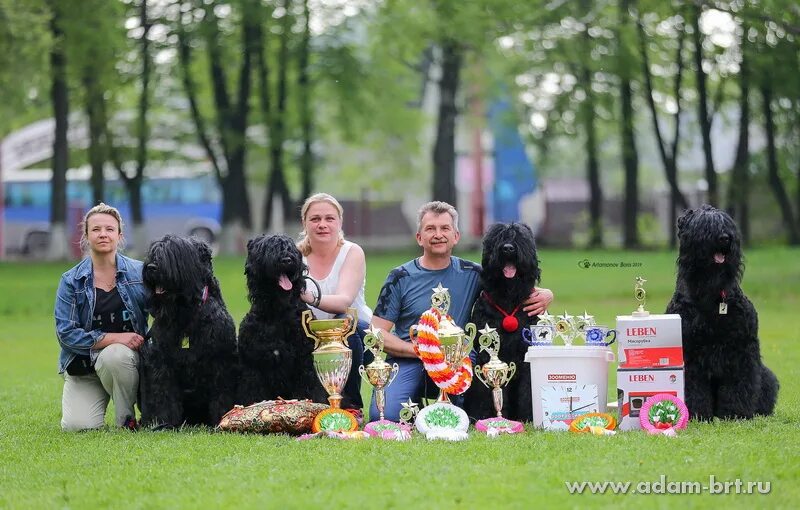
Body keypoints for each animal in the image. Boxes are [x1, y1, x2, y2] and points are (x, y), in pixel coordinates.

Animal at [139, 235, 238, 426]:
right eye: (153, 252)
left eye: (176, 252)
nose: (152, 267)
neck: (186, 312)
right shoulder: (161, 360)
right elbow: (163, 393)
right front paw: (163, 421)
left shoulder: (221, 361)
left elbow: (222, 393)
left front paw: (222, 418)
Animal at [236, 234, 330, 406]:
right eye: (268, 248)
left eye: (291, 248)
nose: (287, 259)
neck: (277, 312)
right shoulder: (253, 366)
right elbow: (252, 393)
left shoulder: (305, 362)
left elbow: (309, 389)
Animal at [466, 223, 540, 422]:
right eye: (498, 237)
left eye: (520, 237)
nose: (508, 248)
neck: (508, 298)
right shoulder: (487, 356)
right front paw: (488, 416)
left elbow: (528, 388)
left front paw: (529, 417)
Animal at [664, 205, 780, 420]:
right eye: (703, 225)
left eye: (727, 223)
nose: (725, 238)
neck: (711, 295)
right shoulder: (690, 352)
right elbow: (694, 386)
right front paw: (697, 413)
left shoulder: (742, 349)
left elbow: (739, 384)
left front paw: (736, 413)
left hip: (766, 374)